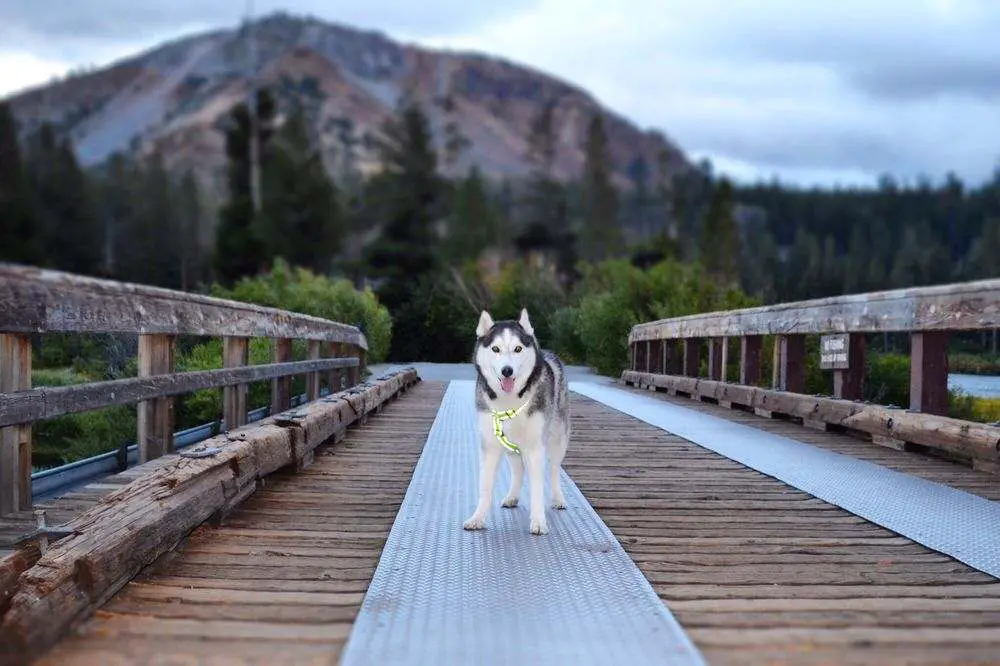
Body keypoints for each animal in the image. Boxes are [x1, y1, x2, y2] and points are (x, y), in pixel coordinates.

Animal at [462, 308, 572, 536]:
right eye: (495, 348)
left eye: (518, 348)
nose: (507, 370)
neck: (509, 401)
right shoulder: (490, 447)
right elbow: (485, 487)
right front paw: (477, 518)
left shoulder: (535, 449)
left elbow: (537, 488)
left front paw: (538, 522)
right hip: (510, 446)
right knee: (518, 470)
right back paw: (512, 496)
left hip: (558, 440)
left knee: (554, 469)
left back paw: (558, 498)